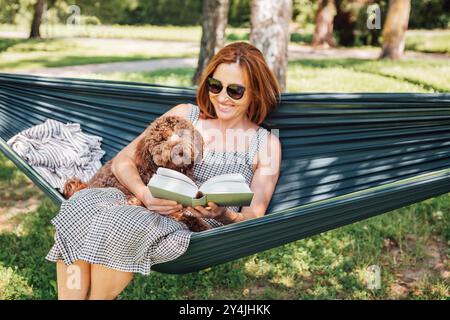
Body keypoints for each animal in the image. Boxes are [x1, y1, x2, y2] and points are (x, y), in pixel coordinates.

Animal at [62, 116, 212, 231]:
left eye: (182, 134)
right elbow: (183, 216)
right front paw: (201, 225)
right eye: (162, 139)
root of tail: (87, 185)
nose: (178, 150)